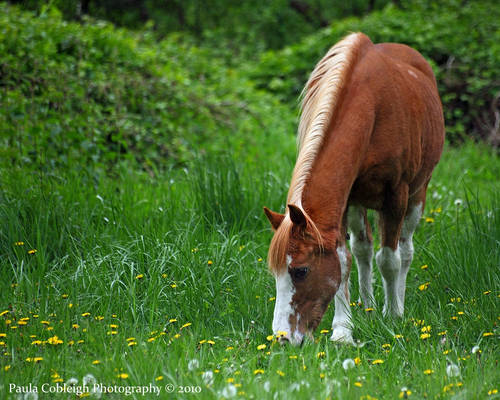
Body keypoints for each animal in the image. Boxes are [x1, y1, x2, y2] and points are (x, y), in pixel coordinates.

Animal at [264, 32, 444, 346]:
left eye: (300, 271)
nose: (282, 338)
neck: (371, 109)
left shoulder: (396, 196)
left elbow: (389, 259)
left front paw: (393, 315)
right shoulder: (344, 200)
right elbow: (344, 260)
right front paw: (343, 330)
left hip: (417, 194)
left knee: (405, 250)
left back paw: (396, 303)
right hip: (360, 202)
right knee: (363, 249)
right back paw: (369, 306)